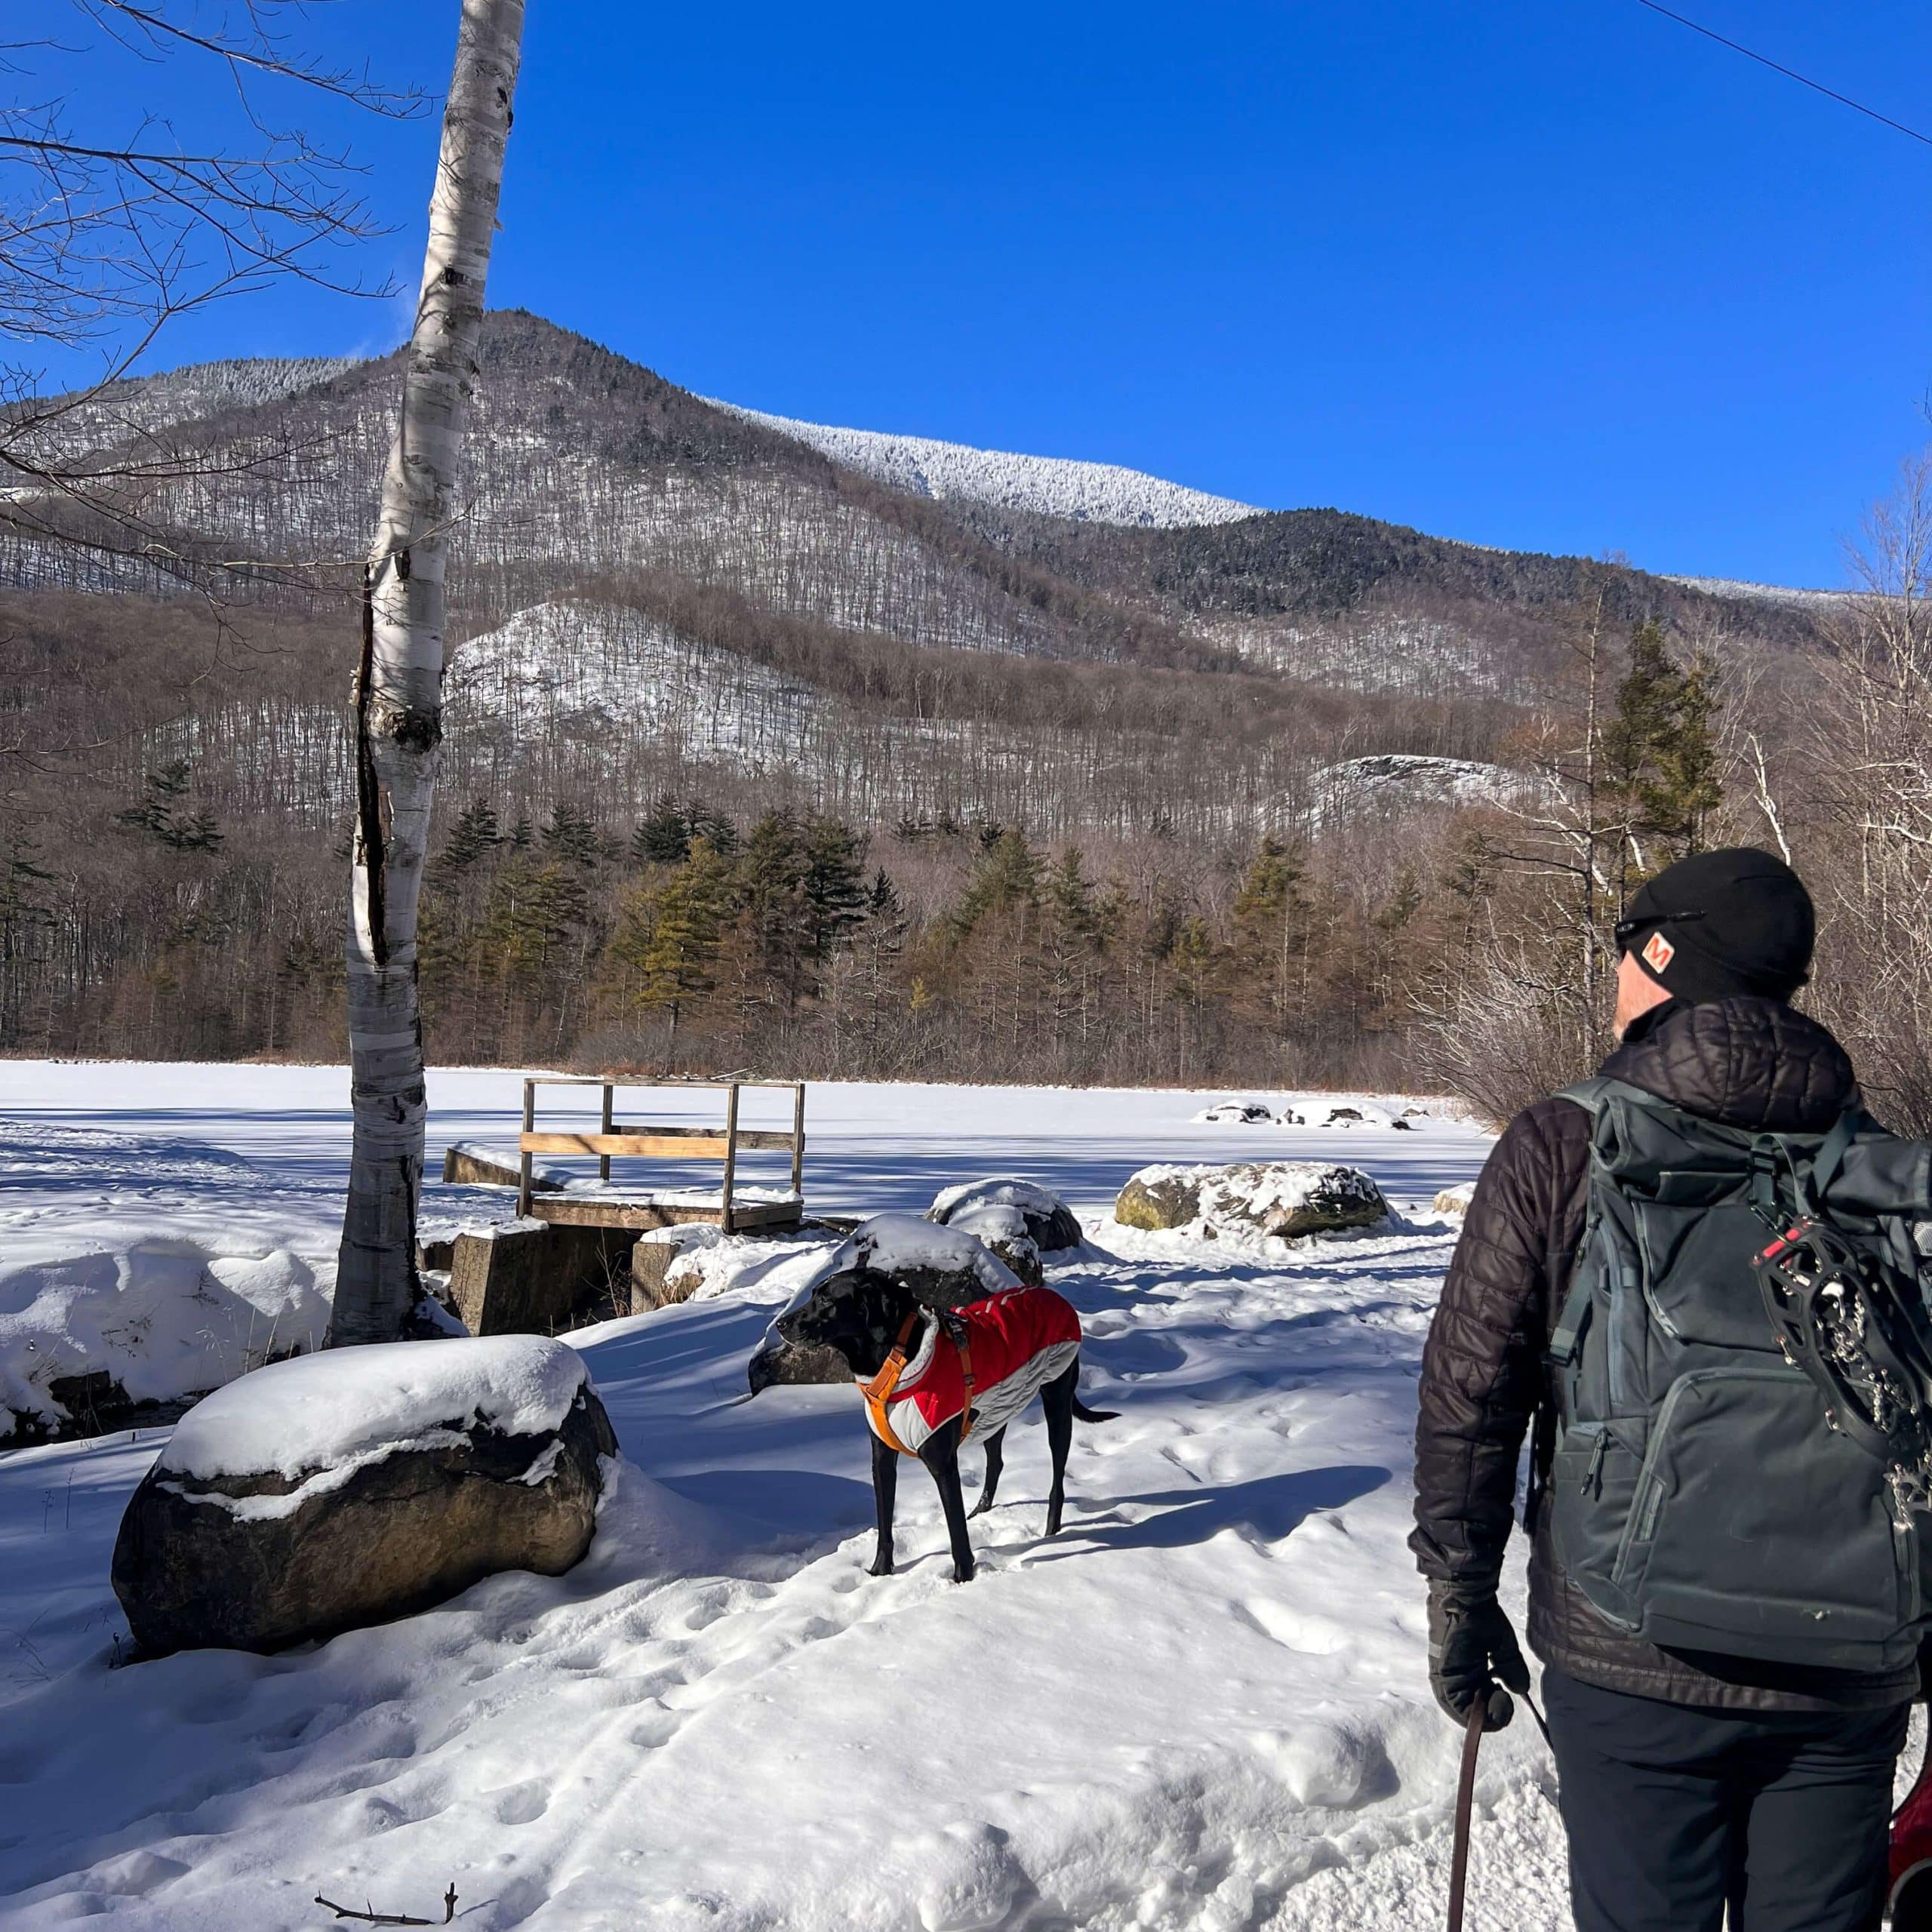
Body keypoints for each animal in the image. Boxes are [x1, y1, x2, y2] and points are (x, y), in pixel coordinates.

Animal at [784, 1267, 1120, 1584]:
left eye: (827, 1300)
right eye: (814, 1294)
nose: (781, 1324)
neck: (897, 1363)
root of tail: (1054, 1296)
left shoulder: (942, 1463)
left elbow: (955, 1529)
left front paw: (963, 1578)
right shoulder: (882, 1460)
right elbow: (885, 1525)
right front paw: (880, 1572)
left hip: (1057, 1404)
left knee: (1056, 1479)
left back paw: (1051, 1530)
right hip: (995, 1410)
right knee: (996, 1462)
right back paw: (982, 1512)